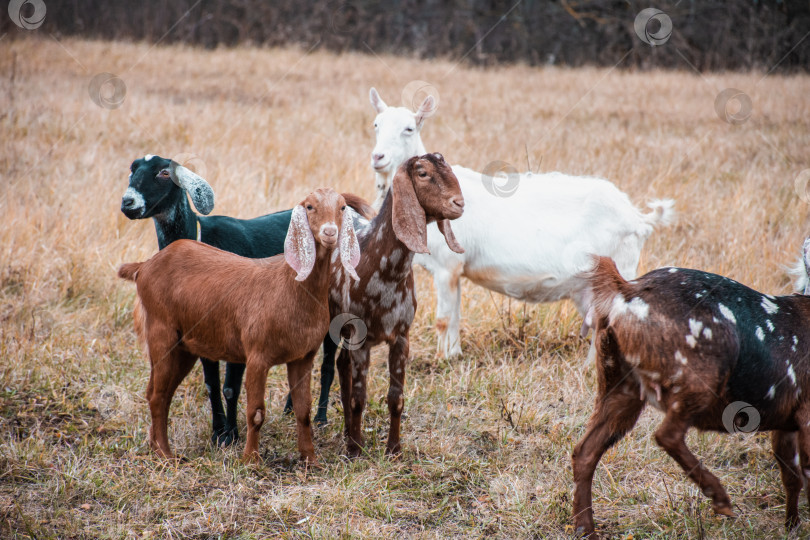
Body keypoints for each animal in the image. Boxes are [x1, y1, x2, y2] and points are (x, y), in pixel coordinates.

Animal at [118, 188, 358, 462]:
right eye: (309, 206)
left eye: (342, 207)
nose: (330, 233)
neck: (290, 285)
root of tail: (144, 266)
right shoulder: (256, 356)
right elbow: (256, 412)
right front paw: (250, 459)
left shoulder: (302, 357)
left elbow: (303, 410)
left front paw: (310, 459)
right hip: (161, 333)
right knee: (158, 396)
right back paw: (167, 455)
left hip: (184, 347)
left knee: (159, 392)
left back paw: (156, 447)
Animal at [328, 152, 464, 456]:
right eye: (423, 173)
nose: (459, 203)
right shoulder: (361, 338)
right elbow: (359, 397)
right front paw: (356, 450)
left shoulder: (402, 336)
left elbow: (395, 397)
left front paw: (394, 448)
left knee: (342, 363)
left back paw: (347, 430)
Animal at [370, 86, 672, 356]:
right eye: (376, 125)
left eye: (409, 128)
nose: (378, 157)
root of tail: (637, 217)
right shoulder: (456, 271)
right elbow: (454, 317)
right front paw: (454, 355)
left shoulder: (446, 266)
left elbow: (443, 320)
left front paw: (442, 360)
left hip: (621, 267)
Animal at [572, 250, 810, 540]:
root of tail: (627, 290)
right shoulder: (806, 415)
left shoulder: (787, 422)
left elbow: (792, 477)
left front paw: (792, 526)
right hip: (700, 376)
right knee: (667, 434)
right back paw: (720, 498)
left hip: (620, 385)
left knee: (585, 451)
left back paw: (585, 529)